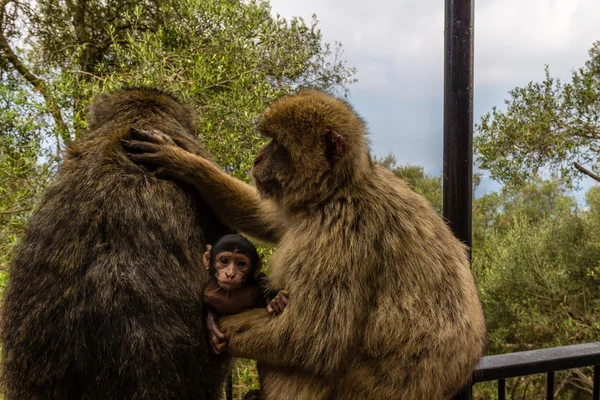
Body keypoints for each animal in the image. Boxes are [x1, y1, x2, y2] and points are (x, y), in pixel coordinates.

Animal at [122, 90, 488, 400]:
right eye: (269, 141)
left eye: (278, 145)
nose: (257, 158)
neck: (339, 189)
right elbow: (267, 218)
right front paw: (185, 162)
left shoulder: (338, 233)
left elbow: (311, 339)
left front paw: (215, 323)